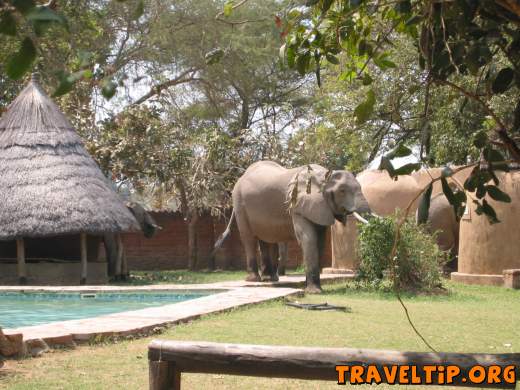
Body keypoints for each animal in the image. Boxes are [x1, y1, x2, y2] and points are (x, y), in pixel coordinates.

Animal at [215, 160, 370, 290]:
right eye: (342, 191)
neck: (324, 175)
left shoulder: (319, 206)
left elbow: (319, 241)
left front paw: (309, 287)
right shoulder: (297, 204)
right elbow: (308, 238)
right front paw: (314, 291)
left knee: (264, 239)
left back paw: (269, 279)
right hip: (239, 204)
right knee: (249, 238)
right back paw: (253, 280)